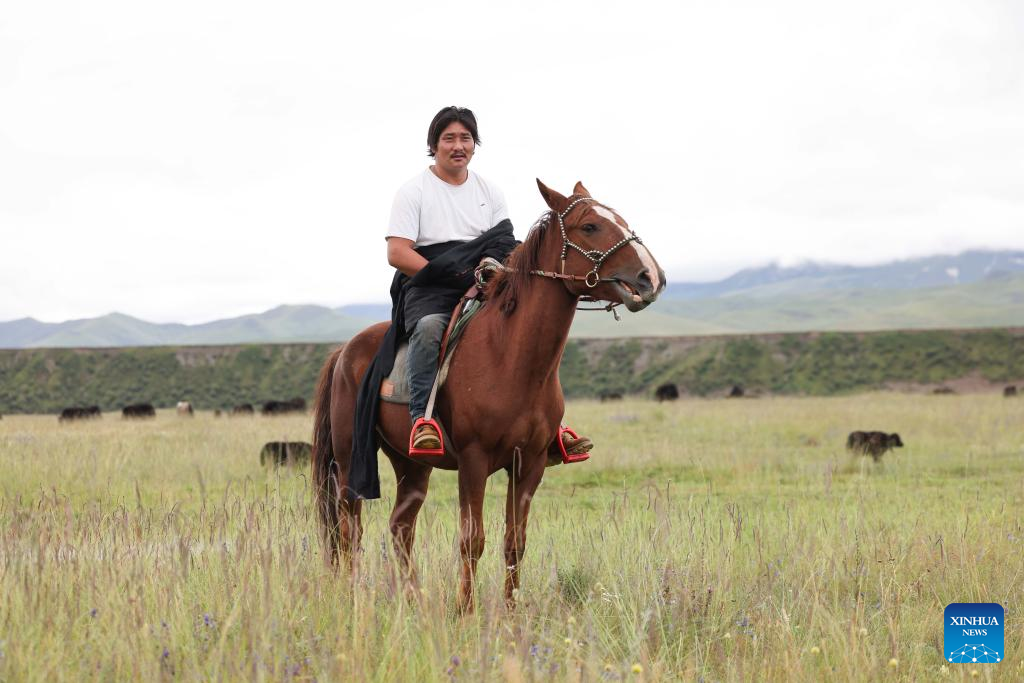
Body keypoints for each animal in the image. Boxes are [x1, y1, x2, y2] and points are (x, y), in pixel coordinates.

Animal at [311, 179, 663, 610]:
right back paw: (352, 597)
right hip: (349, 460)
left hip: (412, 463)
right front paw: (465, 610)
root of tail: (343, 351)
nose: (651, 277)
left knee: (400, 526)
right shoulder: (473, 460)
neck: (510, 357)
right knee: (349, 529)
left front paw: (510, 612)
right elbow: (471, 540)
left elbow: (515, 542)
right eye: (590, 226)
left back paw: (414, 600)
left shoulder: (529, 464)